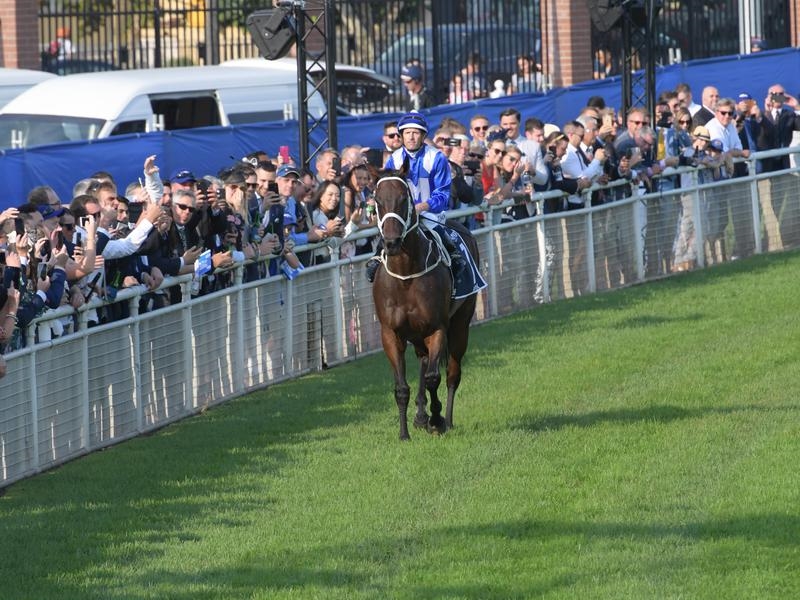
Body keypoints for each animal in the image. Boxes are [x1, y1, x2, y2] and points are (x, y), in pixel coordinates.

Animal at [371, 170, 479, 440]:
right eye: (377, 200)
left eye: (404, 198)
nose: (391, 242)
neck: (406, 276)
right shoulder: (390, 333)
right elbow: (401, 387)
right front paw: (404, 433)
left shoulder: (437, 327)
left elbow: (433, 378)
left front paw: (437, 420)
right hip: (416, 334)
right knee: (422, 360)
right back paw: (421, 415)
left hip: (460, 324)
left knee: (452, 374)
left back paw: (446, 419)